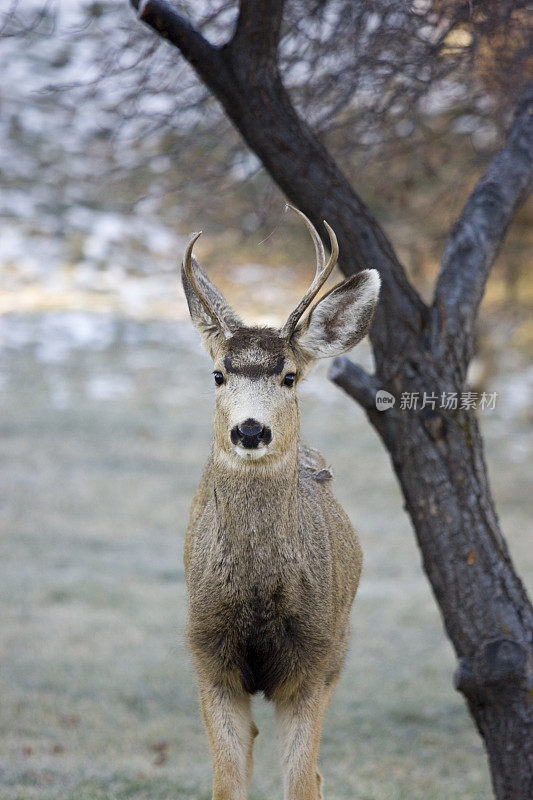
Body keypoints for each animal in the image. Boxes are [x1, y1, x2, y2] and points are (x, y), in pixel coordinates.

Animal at [182, 208, 378, 800]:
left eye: (289, 375)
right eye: (218, 373)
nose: (250, 429)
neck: (256, 600)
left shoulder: (312, 662)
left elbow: (301, 782)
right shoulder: (208, 656)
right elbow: (227, 783)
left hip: (341, 644)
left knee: (315, 774)